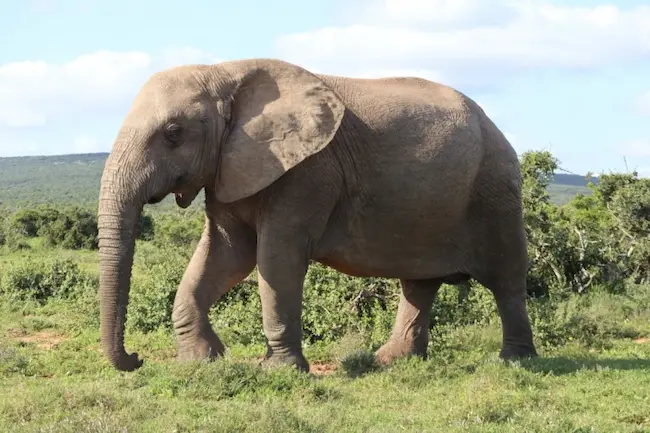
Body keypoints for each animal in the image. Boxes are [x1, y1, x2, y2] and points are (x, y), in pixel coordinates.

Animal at [97, 58, 537, 372]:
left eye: (173, 133)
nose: (135, 359)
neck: (226, 73)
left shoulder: (309, 171)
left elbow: (275, 258)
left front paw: (280, 371)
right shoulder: (229, 167)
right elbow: (225, 254)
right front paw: (203, 361)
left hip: (494, 188)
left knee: (506, 278)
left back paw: (514, 362)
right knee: (419, 283)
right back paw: (391, 361)